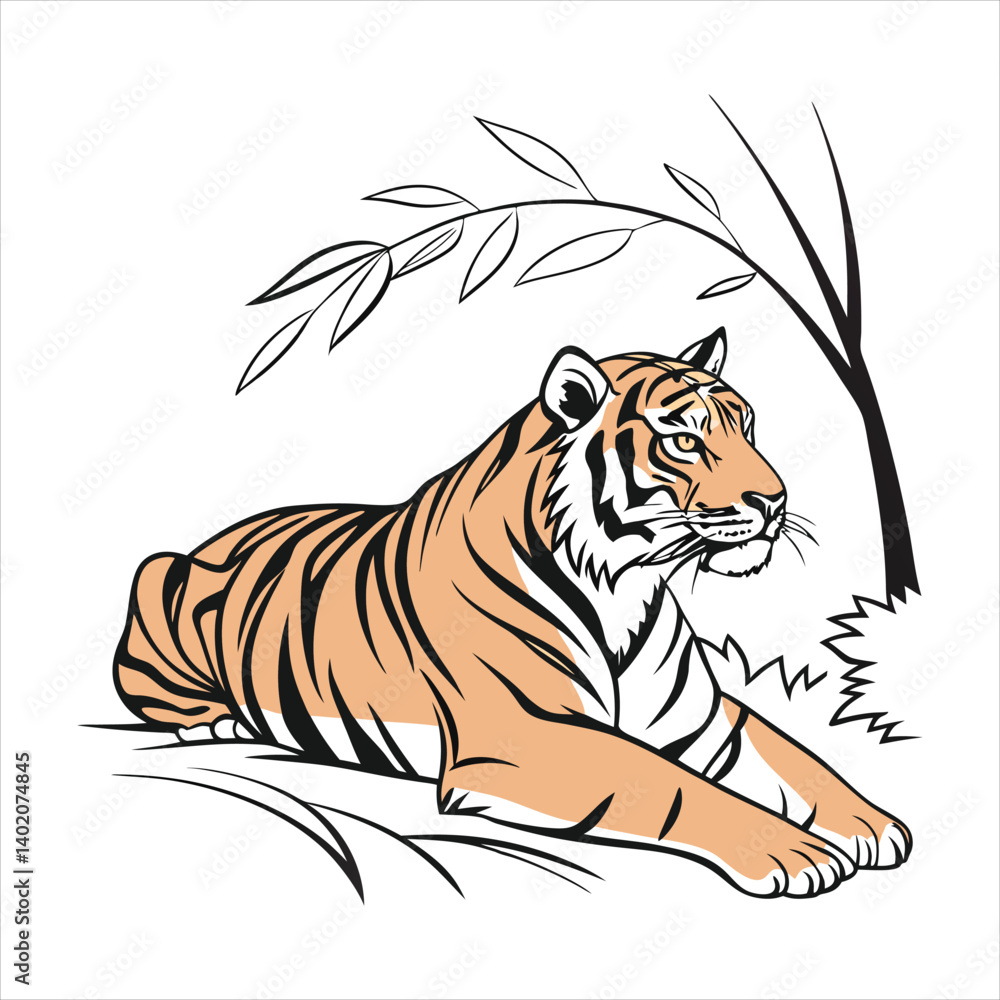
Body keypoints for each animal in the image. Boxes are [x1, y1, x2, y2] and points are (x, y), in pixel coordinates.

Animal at [113, 327, 911, 897]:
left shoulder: (705, 720)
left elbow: (795, 756)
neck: (624, 585)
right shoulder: (521, 735)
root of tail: (219, 532)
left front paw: (870, 823)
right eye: (684, 440)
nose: (775, 501)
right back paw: (220, 722)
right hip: (157, 578)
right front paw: (791, 851)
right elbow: (670, 785)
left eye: (746, 428)